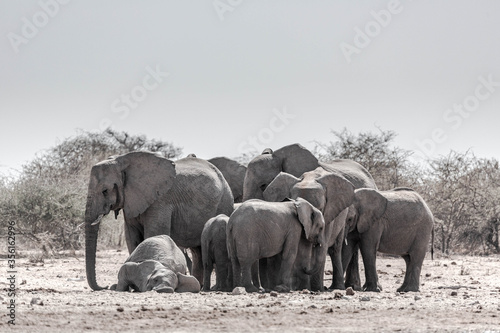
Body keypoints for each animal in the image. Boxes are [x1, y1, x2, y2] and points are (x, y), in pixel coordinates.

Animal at [85, 152, 233, 290]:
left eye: (105, 191)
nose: (105, 286)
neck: (124, 160)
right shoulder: (131, 199)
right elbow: (132, 238)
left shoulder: (161, 200)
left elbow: (153, 234)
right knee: (197, 250)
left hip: (225, 200)